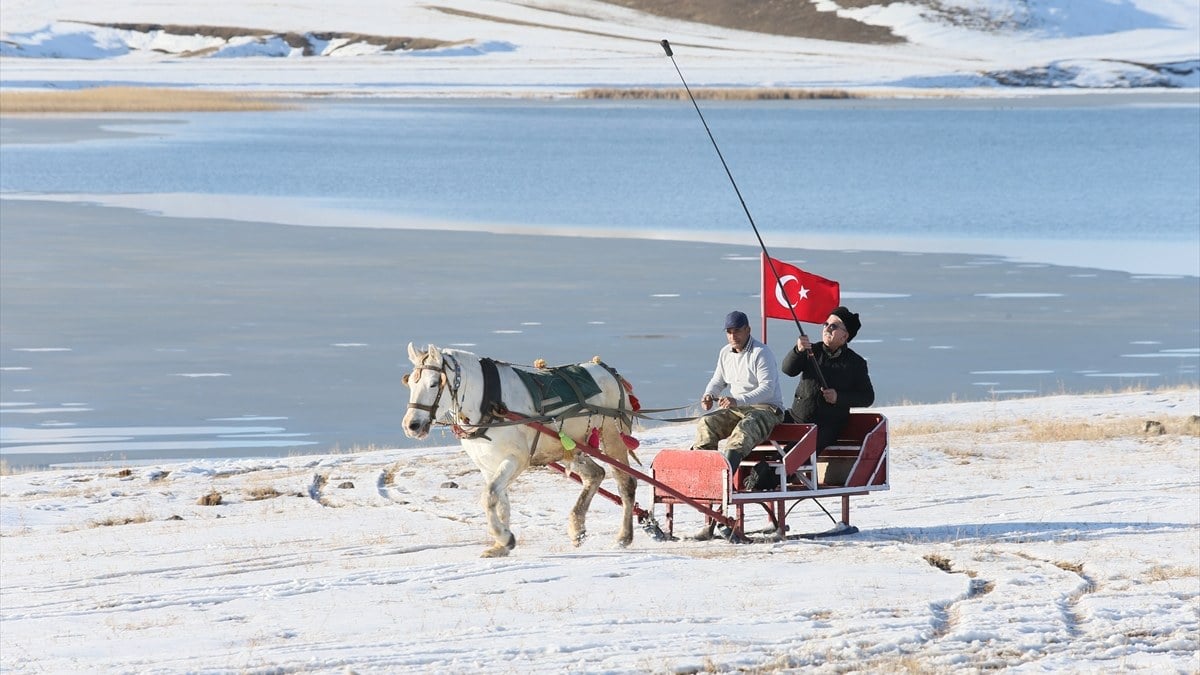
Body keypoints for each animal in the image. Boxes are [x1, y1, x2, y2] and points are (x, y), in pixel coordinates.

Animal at [403, 341, 643, 557]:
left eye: (434, 383)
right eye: (411, 384)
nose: (411, 425)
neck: (488, 402)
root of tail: (609, 372)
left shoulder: (516, 459)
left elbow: (488, 496)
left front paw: (502, 537)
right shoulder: (489, 465)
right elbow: (500, 501)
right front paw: (502, 545)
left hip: (612, 436)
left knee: (626, 484)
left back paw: (623, 537)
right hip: (572, 447)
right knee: (595, 475)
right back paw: (577, 528)